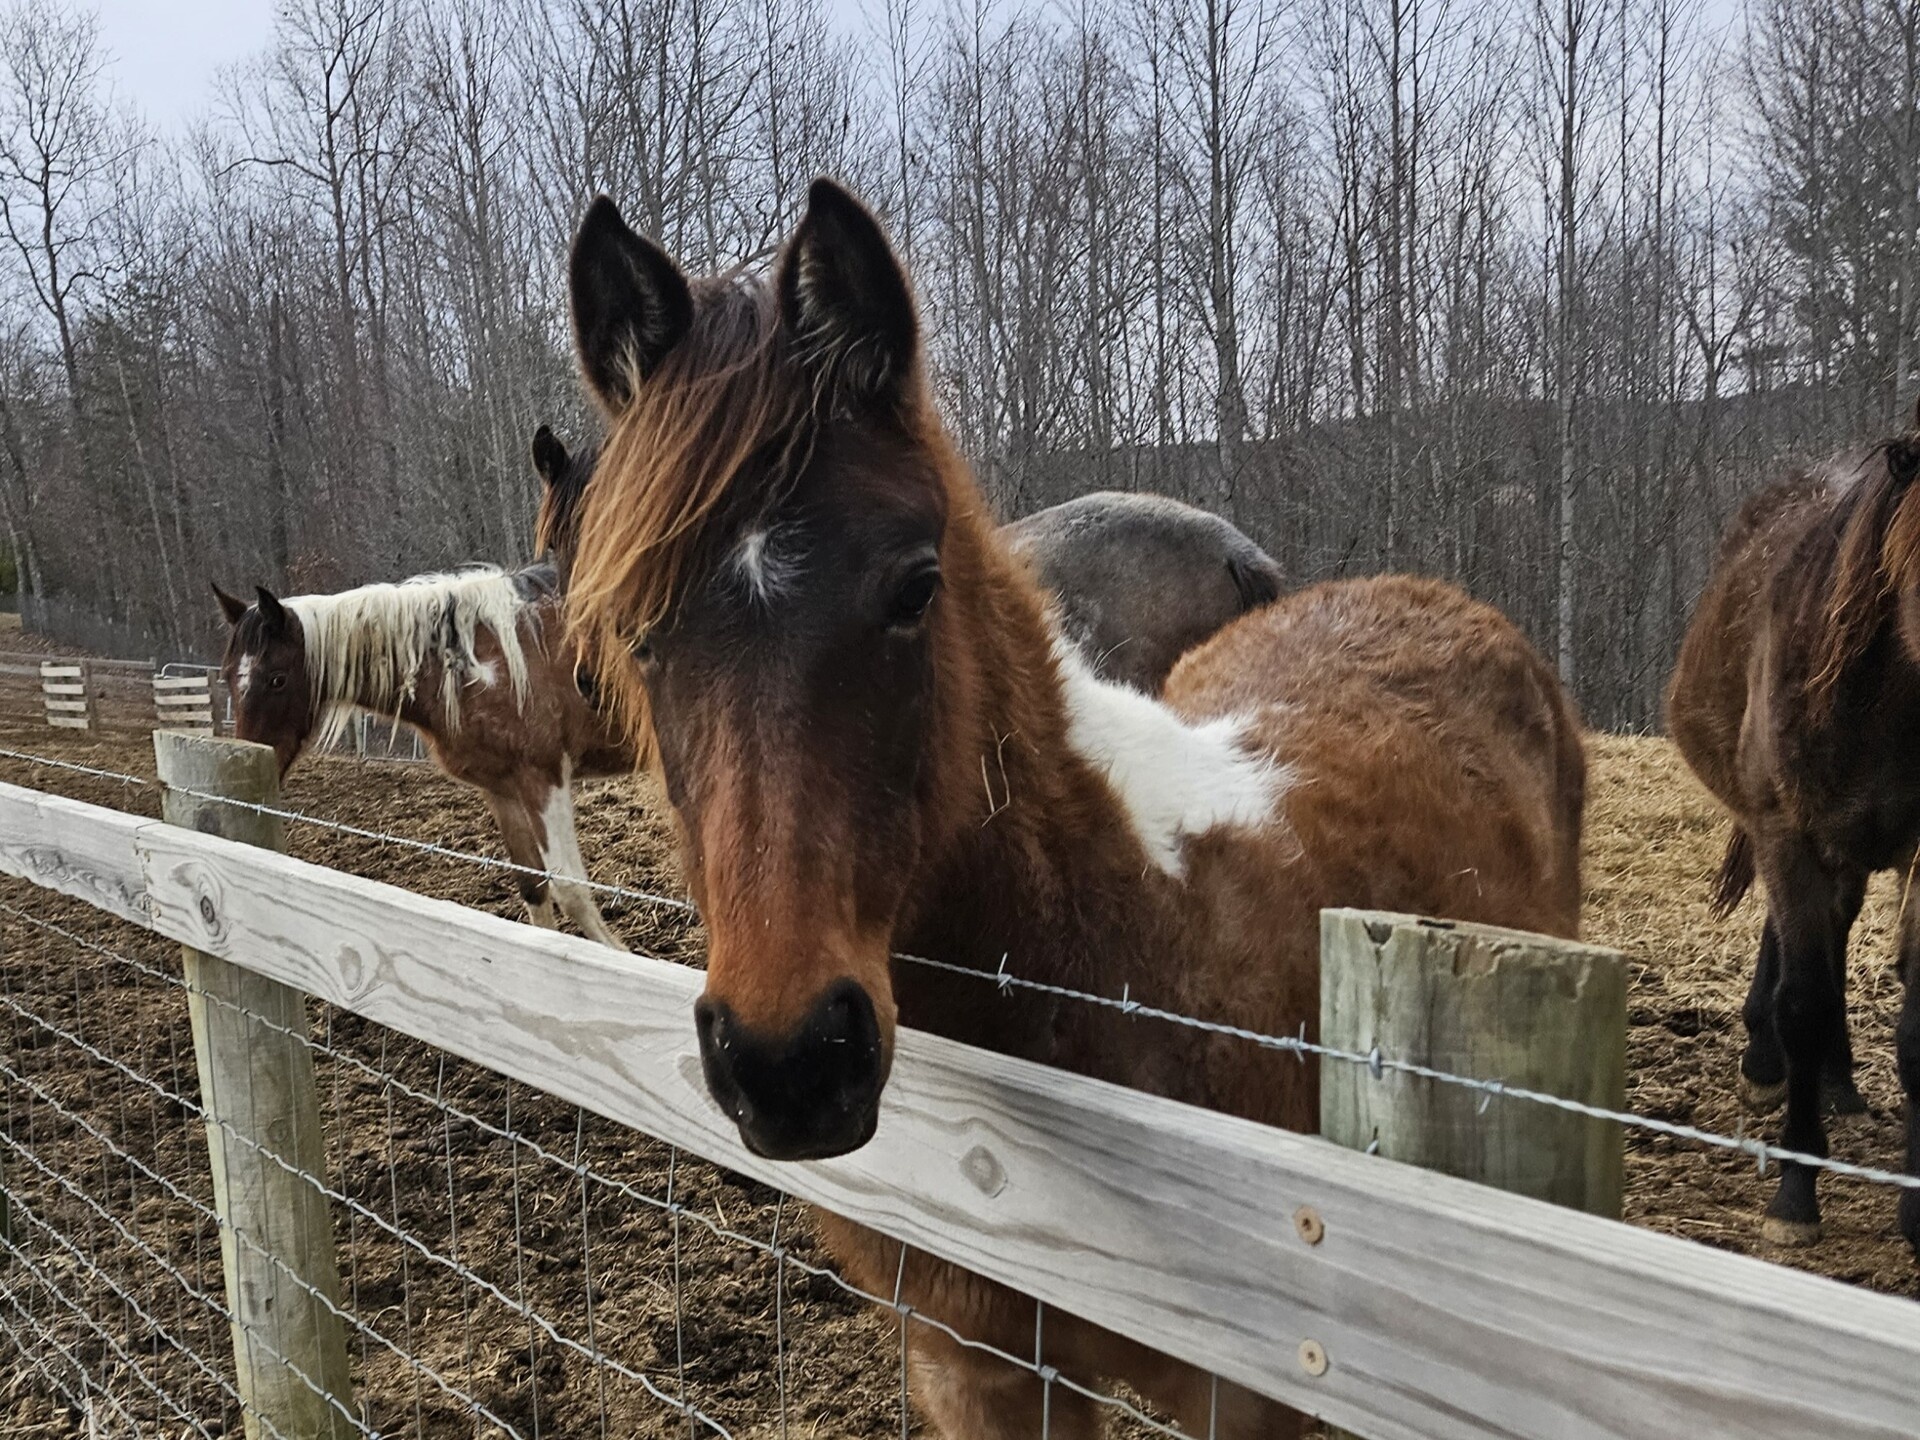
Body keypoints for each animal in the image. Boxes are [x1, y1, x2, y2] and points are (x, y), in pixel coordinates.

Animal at [213, 556, 635, 950]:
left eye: (277, 679)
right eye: (228, 675)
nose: (246, 752)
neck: (475, 665)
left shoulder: (544, 778)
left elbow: (571, 888)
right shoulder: (502, 789)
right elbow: (533, 886)